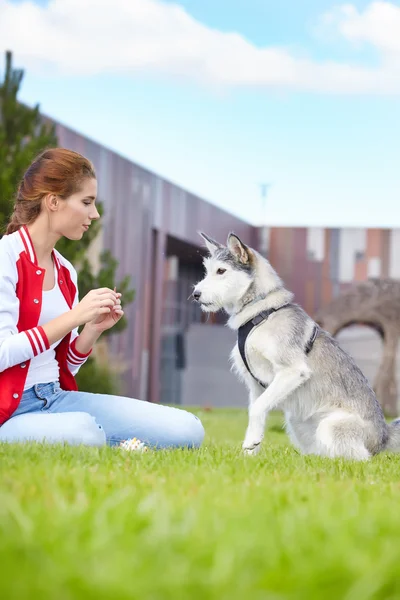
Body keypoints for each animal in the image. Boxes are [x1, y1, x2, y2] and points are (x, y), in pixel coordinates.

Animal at [192, 232, 398, 462]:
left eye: (221, 271)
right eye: (208, 271)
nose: (195, 294)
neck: (261, 312)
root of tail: (384, 436)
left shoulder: (292, 371)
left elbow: (258, 408)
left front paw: (250, 445)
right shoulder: (255, 386)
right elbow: (256, 410)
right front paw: (249, 453)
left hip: (331, 426)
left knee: (360, 458)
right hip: (297, 421)